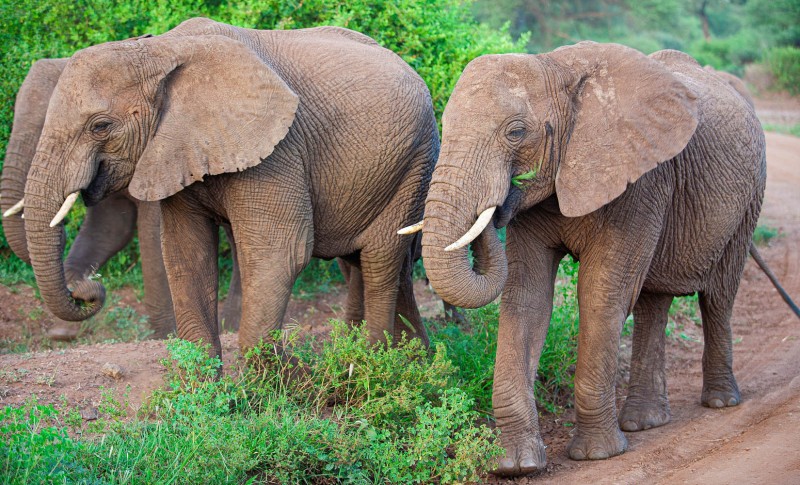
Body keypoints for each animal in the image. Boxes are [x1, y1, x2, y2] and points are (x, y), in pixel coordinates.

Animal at [1, 57, 243, 339]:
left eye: (98, 127)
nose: (62, 233)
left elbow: (152, 237)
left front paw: (165, 335)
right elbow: (109, 229)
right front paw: (62, 332)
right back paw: (231, 325)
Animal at [399, 43, 797, 475]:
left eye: (516, 132)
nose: (498, 202)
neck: (555, 68)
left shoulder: (640, 181)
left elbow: (602, 294)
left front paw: (597, 455)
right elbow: (527, 298)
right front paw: (514, 465)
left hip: (749, 200)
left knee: (718, 296)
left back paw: (720, 402)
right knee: (653, 302)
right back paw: (644, 422)